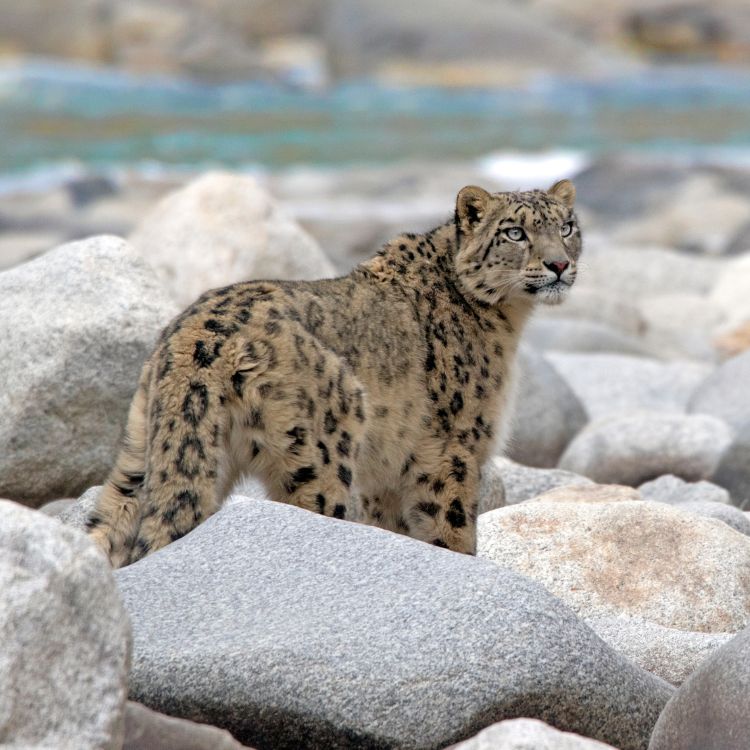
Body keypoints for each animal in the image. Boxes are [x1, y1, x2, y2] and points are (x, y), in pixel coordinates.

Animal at [87, 179, 581, 567]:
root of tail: (193, 338)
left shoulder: (387, 473)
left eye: (567, 227)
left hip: (141, 451)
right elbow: (450, 529)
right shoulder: (455, 448)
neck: (508, 322)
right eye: (515, 232)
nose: (559, 264)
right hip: (319, 457)